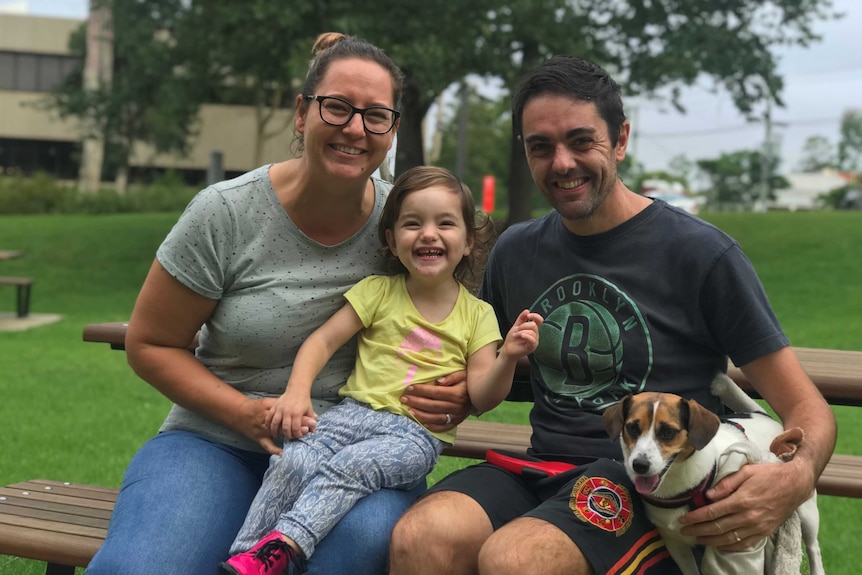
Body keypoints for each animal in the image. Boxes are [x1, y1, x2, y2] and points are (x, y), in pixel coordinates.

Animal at [604, 376, 828, 575]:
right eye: (632, 428)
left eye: (668, 432)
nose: (639, 465)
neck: (681, 488)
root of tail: (762, 415)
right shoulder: (675, 545)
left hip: (804, 509)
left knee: (813, 547)